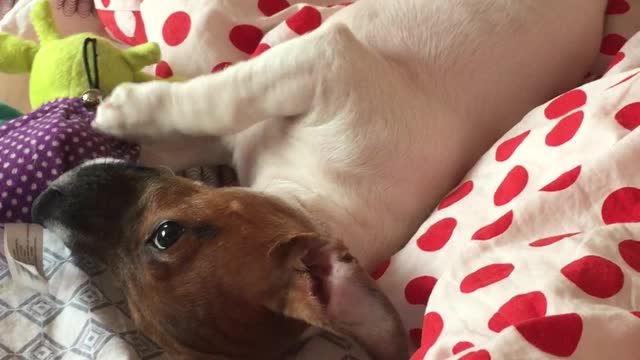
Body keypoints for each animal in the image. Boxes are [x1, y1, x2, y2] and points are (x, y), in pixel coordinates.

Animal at [32, 1, 608, 358]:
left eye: (165, 235)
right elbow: (192, 130)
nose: (43, 205)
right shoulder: (240, 132)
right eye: (124, 300)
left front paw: (126, 108)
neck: (312, 198)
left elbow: (220, 96)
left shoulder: (323, 62)